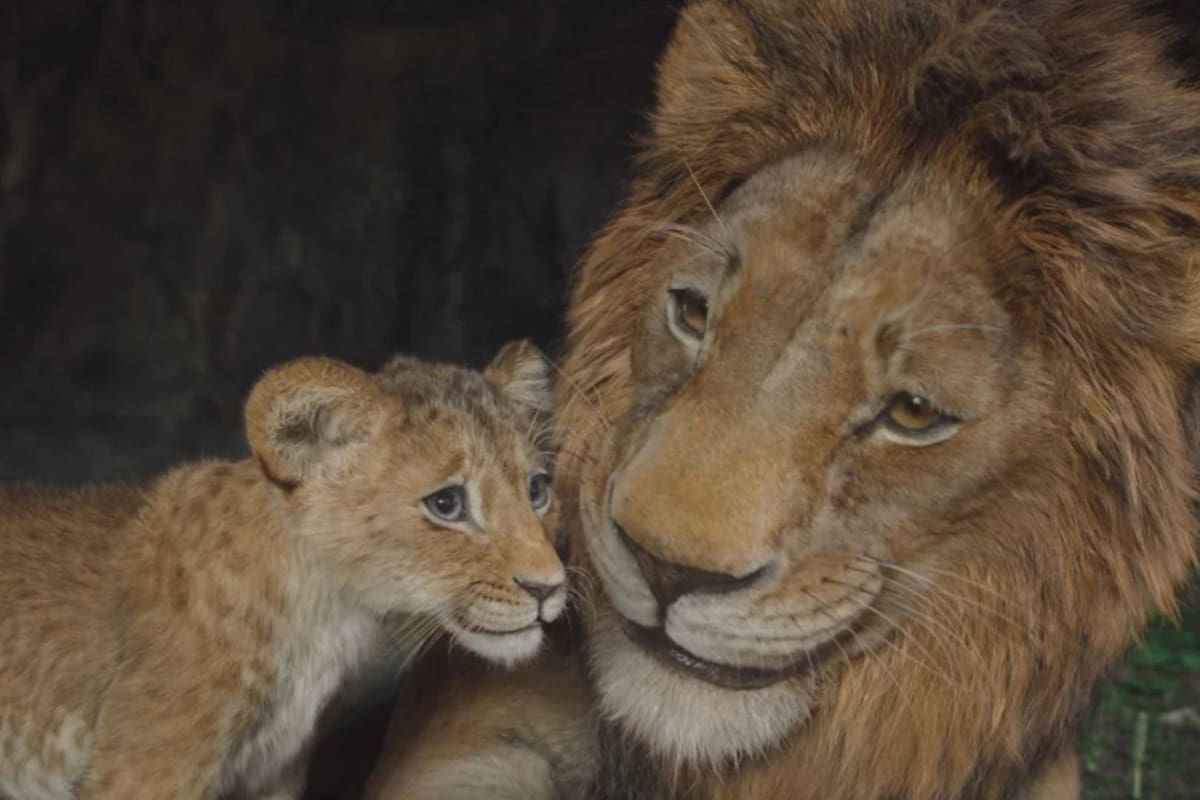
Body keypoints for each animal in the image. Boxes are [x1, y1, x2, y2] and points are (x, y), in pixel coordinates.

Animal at [0, 341, 566, 799]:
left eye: (537, 490)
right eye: (447, 504)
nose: (550, 587)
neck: (328, 617)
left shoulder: (276, 771)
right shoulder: (144, 768)